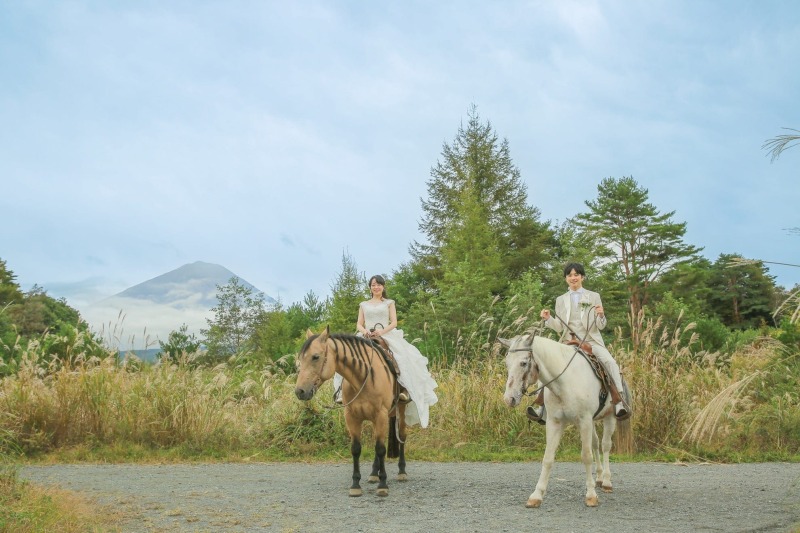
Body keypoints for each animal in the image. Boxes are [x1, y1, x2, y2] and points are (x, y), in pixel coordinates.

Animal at [294, 326, 406, 496]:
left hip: (402, 410)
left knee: (402, 438)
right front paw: (355, 484)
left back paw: (402, 472)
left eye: (315, 357)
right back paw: (374, 474)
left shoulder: (380, 415)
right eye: (300, 358)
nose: (300, 391)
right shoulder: (351, 417)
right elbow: (356, 449)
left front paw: (383, 485)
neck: (363, 378)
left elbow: (380, 449)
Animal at [500, 332, 620, 508]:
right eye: (507, 363)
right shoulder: (554, 422)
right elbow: (548, 458)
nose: (509, 399)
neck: (565, 382)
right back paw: (598, 478)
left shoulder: (584, 421)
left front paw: (591, 495)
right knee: (596, 444)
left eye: (523, 363)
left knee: (605, 446)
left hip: (609, 418)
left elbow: (586, 456)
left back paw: (606, 481)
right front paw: (536, 496)